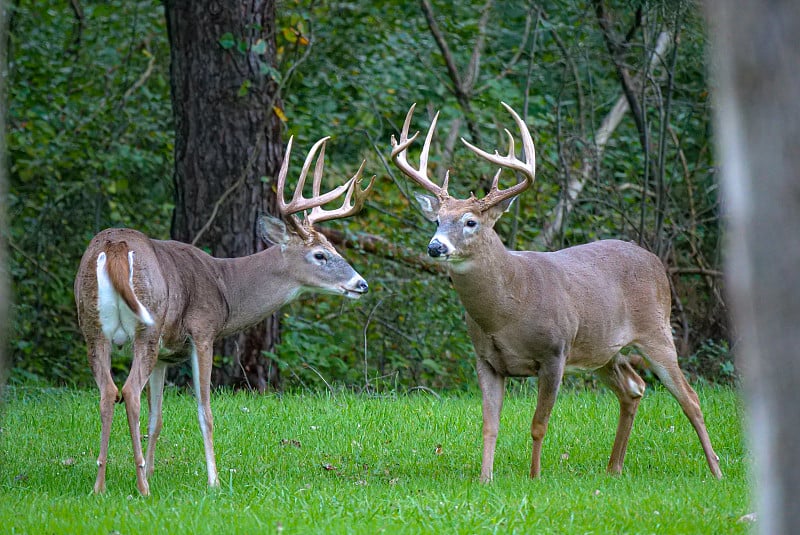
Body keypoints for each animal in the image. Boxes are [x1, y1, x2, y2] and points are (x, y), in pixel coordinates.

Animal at [75, 136, 376, 496]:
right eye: (320, 255)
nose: (361, 284)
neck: (224, 285)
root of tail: (116, 248)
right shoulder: (203, 332)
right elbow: (205, 412)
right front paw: (213, 480)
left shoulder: (165, 354)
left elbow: (156, 418)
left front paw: (152, 470)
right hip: (145, 327)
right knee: (129, 391)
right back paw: (141, 488)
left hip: (93, 327)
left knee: (109, 392)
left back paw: (101, 485)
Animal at [390, 100, 720, 482]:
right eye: (436, 220)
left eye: (470, 222)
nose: (435, 247)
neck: (507, 311)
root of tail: (655, 261)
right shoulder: (486, 359)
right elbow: (489, 425)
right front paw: (485, 479)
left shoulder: (554, 352)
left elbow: (538, 425)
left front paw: (534, 477)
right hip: (602, 349)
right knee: (634, 388)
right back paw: (613, 468)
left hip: (656, 331)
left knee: (690, 397)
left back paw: (716, 470)